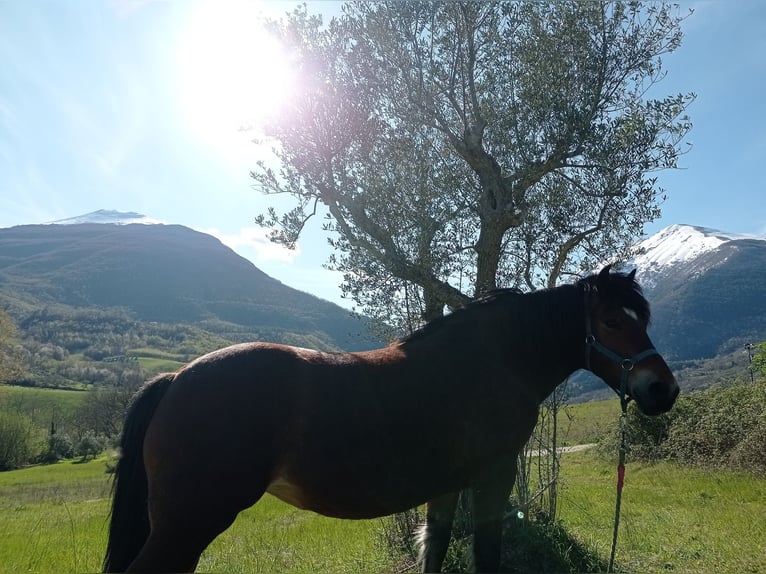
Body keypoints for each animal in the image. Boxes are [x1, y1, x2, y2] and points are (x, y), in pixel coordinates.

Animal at [103, 266, 678, 572]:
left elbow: (436, 547)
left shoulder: (448, 486)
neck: (493, 360)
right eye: (611, 320)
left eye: (642, 319)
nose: (662, 389)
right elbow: (486, 553)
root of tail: (176, 378)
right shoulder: (493, 476)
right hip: (188, 523)